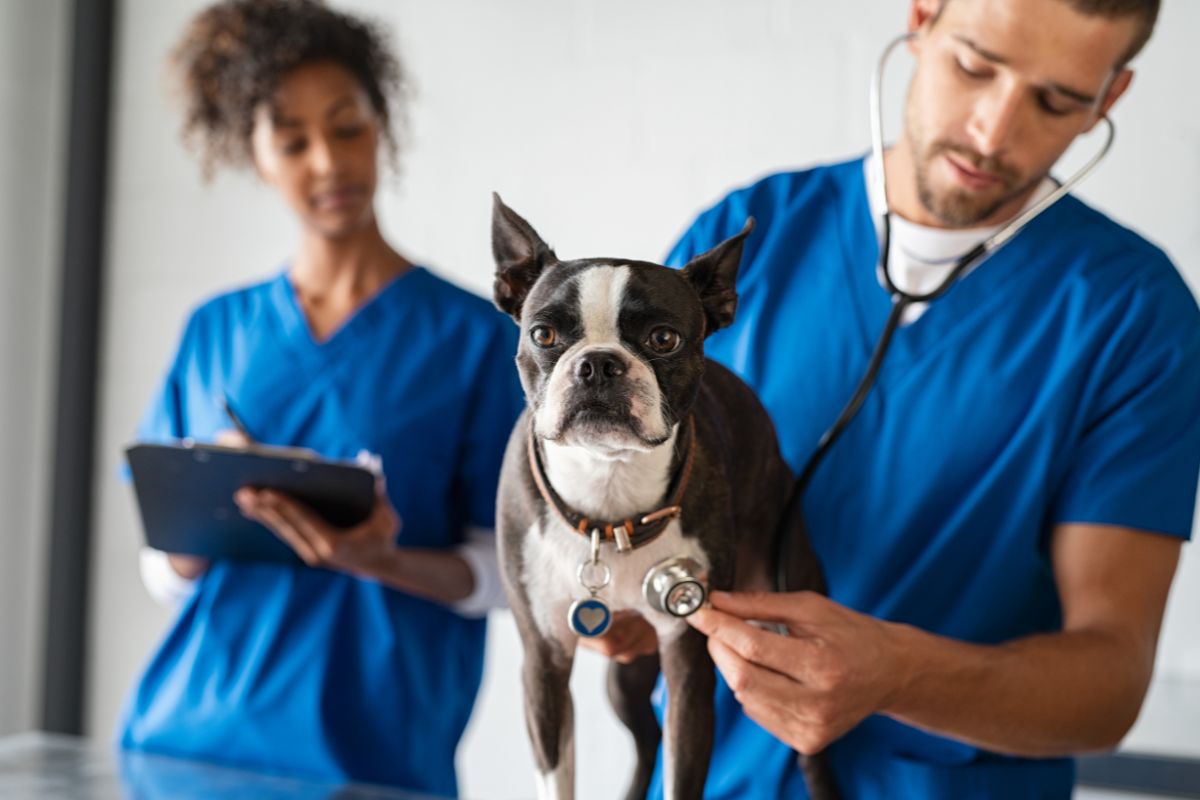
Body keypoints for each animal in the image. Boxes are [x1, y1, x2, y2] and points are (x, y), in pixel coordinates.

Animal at [492, 195, 830, 800]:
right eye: (543, 335)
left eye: (663, 339)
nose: (598, 363)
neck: (609, 494)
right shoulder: (544, 661)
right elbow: (558, 774)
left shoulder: (688, 661)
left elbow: (682, 770)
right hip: (624, 675)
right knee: (646, 737)